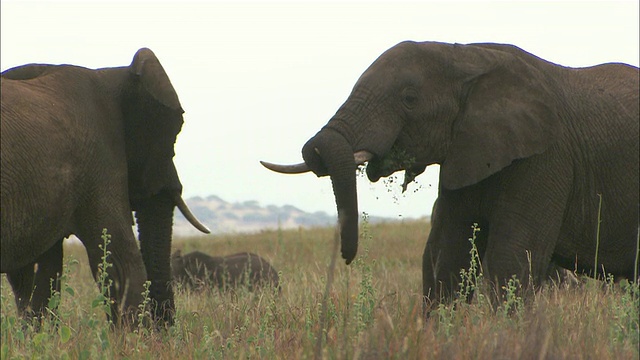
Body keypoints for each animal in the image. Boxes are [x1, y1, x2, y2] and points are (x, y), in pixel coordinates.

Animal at [0, 47, 210, 326]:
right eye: (175, 131)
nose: (162, 328)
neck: (112, 75)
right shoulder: (100, 158)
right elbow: (121, 261)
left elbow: (39, 276)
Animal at [262, 40, 640, 314]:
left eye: (409, 98)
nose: (345, 258)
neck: (465, 56)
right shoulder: (464, 152)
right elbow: (444, 258)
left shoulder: (546, 158)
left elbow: (510, 259)